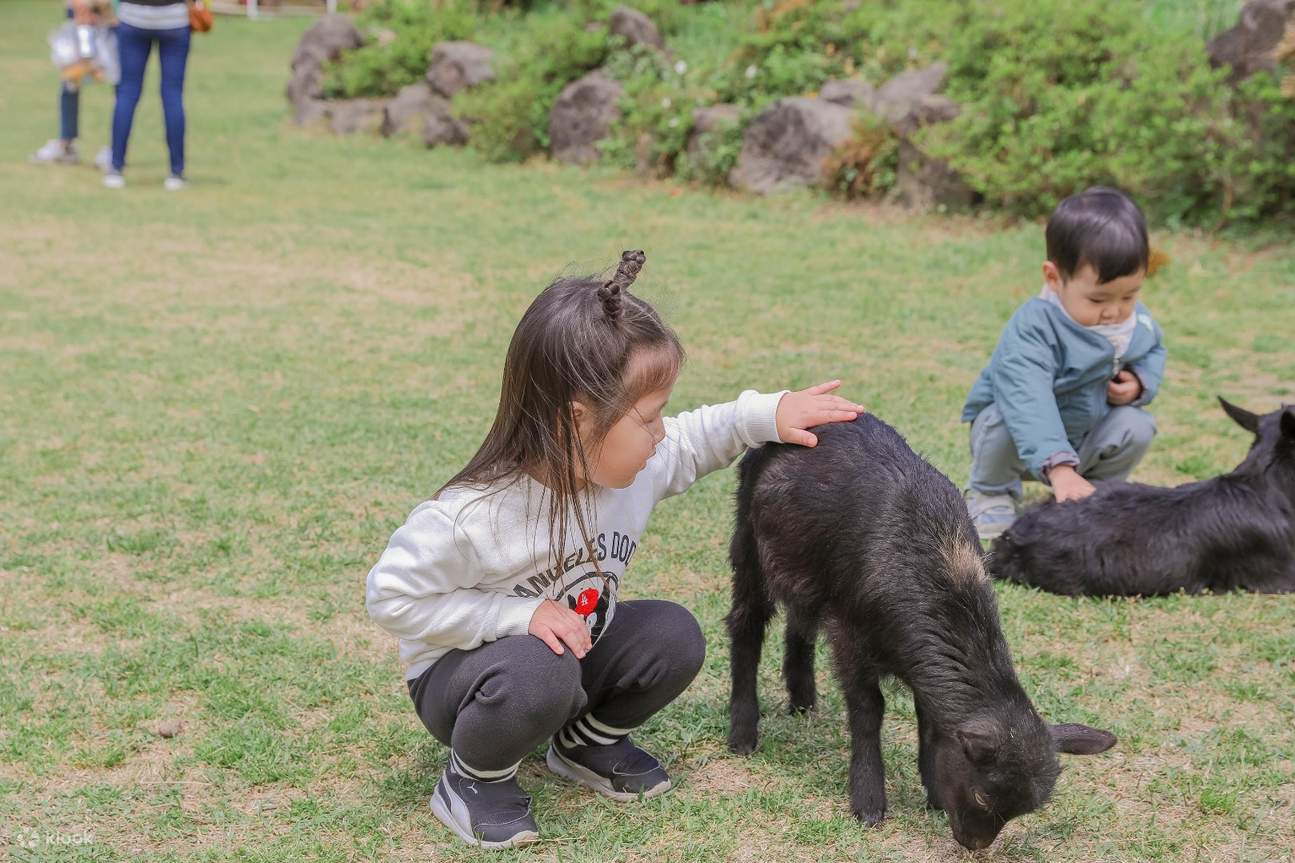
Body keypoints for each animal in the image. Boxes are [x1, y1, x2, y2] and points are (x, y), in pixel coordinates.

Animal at [726, 413, 1116, 851]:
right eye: (983, 795)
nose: (974, 846)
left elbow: (929, 718)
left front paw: (932, 792)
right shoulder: (850, 636)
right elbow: (869, 710)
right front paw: (869, 801)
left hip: (805, 570)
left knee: (799, 621)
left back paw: (802, 700)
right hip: (750, 548)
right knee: (745, 626)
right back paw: (743, 731)